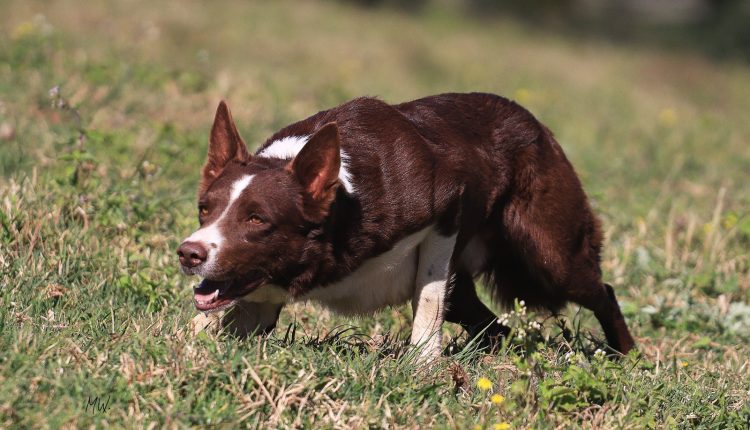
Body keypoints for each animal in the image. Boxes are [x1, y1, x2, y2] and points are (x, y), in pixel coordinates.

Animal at [179, 92, 636, 358]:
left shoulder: (447, 209)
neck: (345, 205)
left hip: (548, 254)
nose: (188, 253)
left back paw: (627, 358)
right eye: (204, 209)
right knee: (494, 326)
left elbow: (428, 298)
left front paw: (423, 365)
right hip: (477, 287)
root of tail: (538, 125)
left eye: (257, 219)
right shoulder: (258, 294)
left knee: (602, 291)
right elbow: (220, 321)